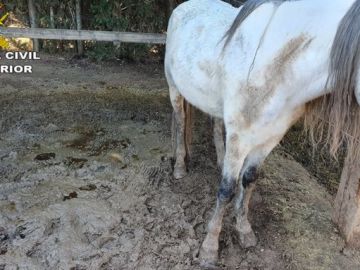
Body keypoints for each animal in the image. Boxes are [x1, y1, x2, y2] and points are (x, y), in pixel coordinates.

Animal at [165, 0, 360, 266]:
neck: (275, 67)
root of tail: (181, 7)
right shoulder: (239, 138)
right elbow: (227, 189)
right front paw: (209, 248)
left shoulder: (269, 139)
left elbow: (249, 180)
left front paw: (244, 230)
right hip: (174, 88)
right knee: (180, 120)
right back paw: (179, 166)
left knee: (215, 125)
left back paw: (217, 160)